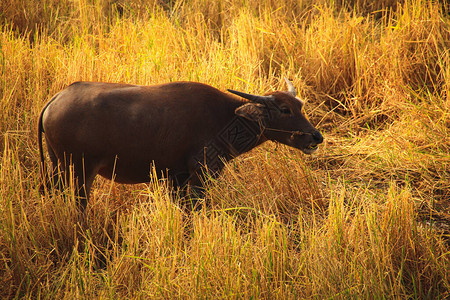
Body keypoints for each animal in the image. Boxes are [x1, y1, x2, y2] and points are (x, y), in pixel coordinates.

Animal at [37, 79, 322, 211]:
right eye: (284, 109)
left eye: (300, 105)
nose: (316, 137)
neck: (227, 118)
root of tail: (56, 100)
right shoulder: (201, 174)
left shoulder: (176, 178)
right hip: (80, 171)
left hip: (56, 166)